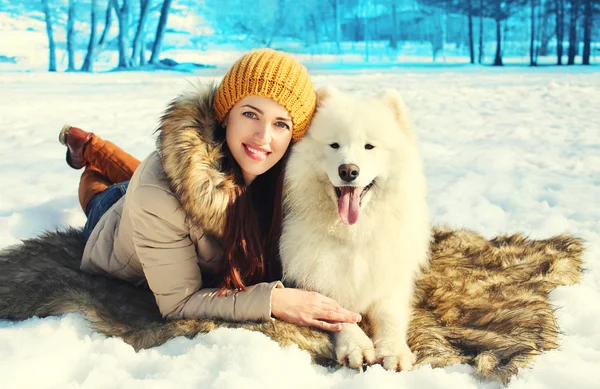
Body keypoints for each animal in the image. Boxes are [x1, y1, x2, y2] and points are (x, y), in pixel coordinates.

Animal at [282, 86, 432, 372]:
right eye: (334, 145)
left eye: (369, 146)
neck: (355, 235)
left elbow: (389, 316)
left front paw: (394, 351)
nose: (348, 171)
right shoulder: (319, 278)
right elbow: (338, 312)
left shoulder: (390, 281)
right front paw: (356, 346)